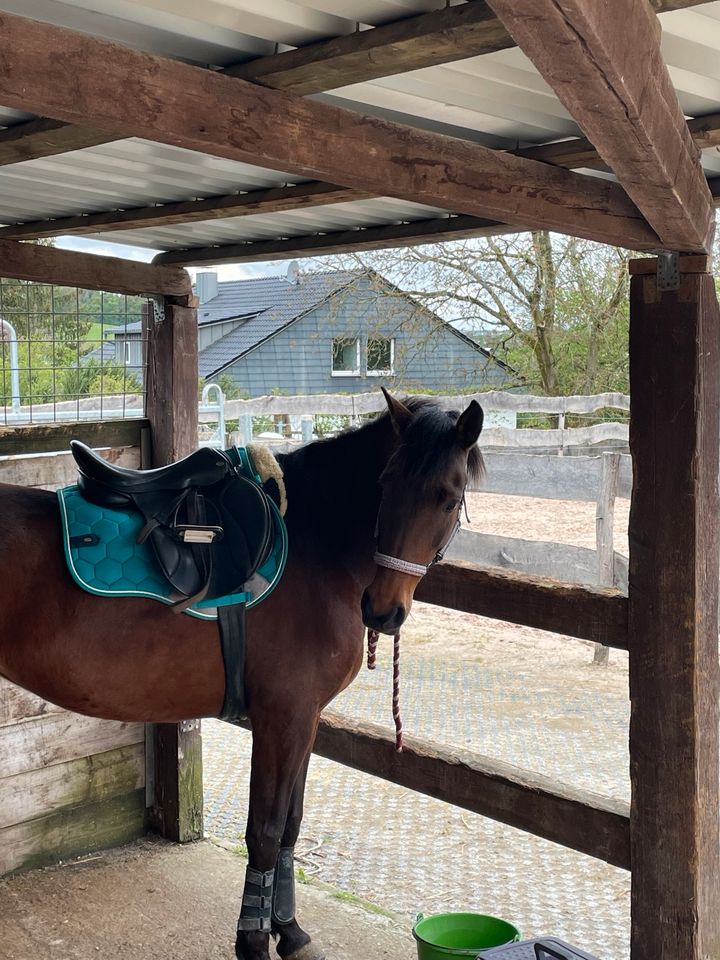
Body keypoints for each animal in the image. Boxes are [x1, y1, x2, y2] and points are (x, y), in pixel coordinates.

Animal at [1, 390, 484, 960]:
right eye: (386, 482)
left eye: (448, 499)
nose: (383, 611)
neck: (315, 545)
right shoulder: (282, 719)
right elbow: (267, 830)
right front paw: (254, 939)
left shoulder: (305, 721)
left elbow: (292, 826)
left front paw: (290, 931)